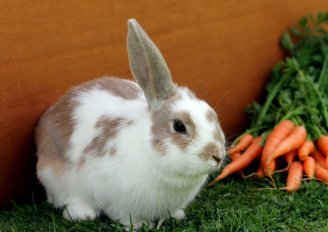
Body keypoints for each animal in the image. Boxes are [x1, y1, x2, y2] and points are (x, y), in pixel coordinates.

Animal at [34, 18, 227, 228]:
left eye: (212, 113)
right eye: (179, 126)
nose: (217, 156)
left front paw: (176, 215)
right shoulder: (118, 201)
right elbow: (126, 217)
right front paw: (141, 226)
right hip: (55, 178)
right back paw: (82, 213)